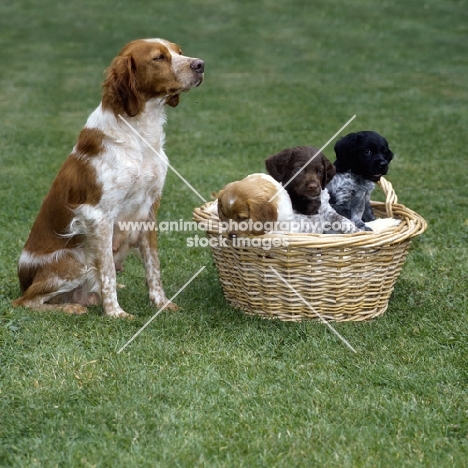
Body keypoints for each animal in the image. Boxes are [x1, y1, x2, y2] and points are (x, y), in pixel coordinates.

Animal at [12, 39, 205, 318]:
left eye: (179, 52)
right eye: (159, 58)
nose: (200, 65)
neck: (140, 134)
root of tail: (23, 278)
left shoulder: (149, 210)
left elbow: (153, 266)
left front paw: (161, 303)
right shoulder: (98, 215)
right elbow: (108, 271)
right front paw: (115, 313)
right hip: (74, 261)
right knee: (25, 301)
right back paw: (70, 307)